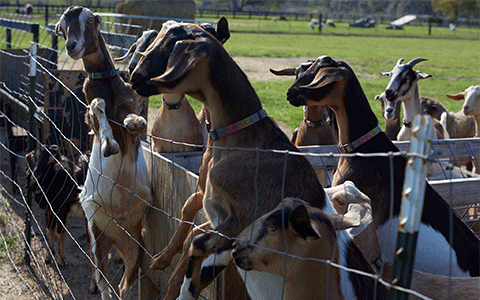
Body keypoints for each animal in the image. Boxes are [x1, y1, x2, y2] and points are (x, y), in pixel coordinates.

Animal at [54, 5, 153, 298]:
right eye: (62, 27)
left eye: (90, 20)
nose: (71, 46)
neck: (108, 87)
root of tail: (116, 239)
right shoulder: (92, 115)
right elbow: (97, 106)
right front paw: (109, 144)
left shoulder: (129, 111)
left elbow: (134, 120)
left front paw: (133, 123)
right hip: (97, 239)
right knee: (104, 282)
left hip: (135, 249)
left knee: (122, 285)